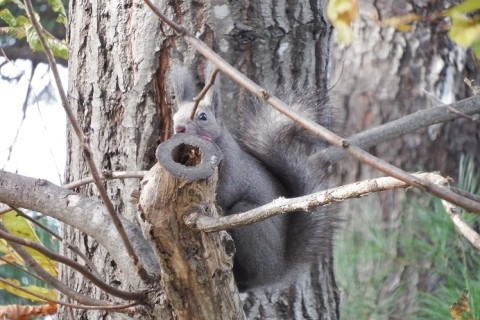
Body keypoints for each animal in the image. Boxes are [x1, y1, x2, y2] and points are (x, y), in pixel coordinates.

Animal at [171, 63, 336, 292]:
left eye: (203, 116)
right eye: (174, 116)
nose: (178, 128)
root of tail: (278, 271)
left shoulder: (232, 174)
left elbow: (224, 194)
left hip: (249, 223)